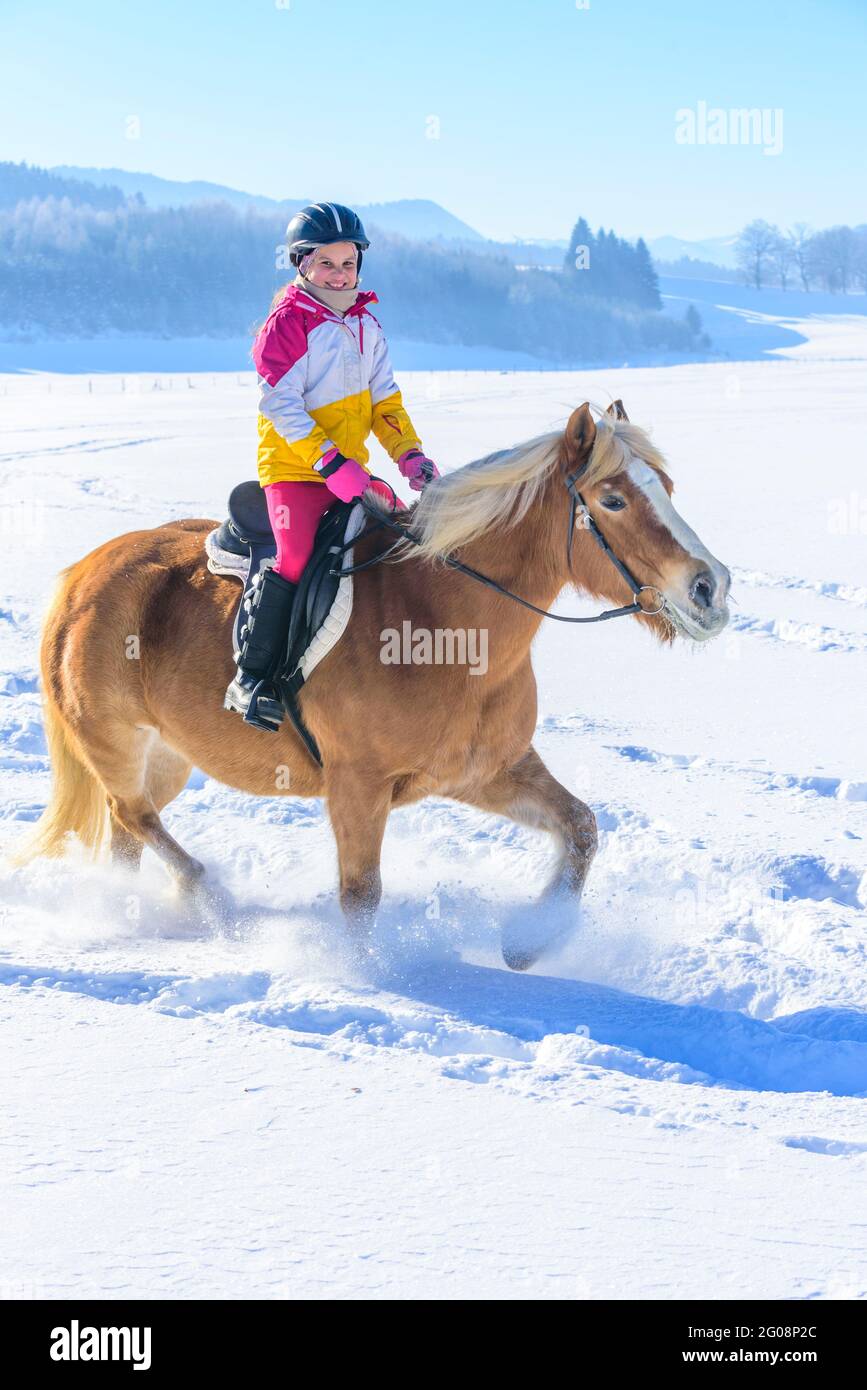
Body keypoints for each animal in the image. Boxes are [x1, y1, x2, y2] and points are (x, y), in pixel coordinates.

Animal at [15, 403, 733, 967]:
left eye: (667, 486)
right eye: (612, 499)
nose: (710, 588)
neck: (445, 623)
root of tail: (80, 576)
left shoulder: (485, 771)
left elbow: (581, 827)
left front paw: (530, 941)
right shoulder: (357, 786)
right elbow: (360, 897)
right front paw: (368, 978)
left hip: (168, 755)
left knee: (128, 832)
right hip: (114, 742)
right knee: (131, 815)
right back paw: (208, 895)